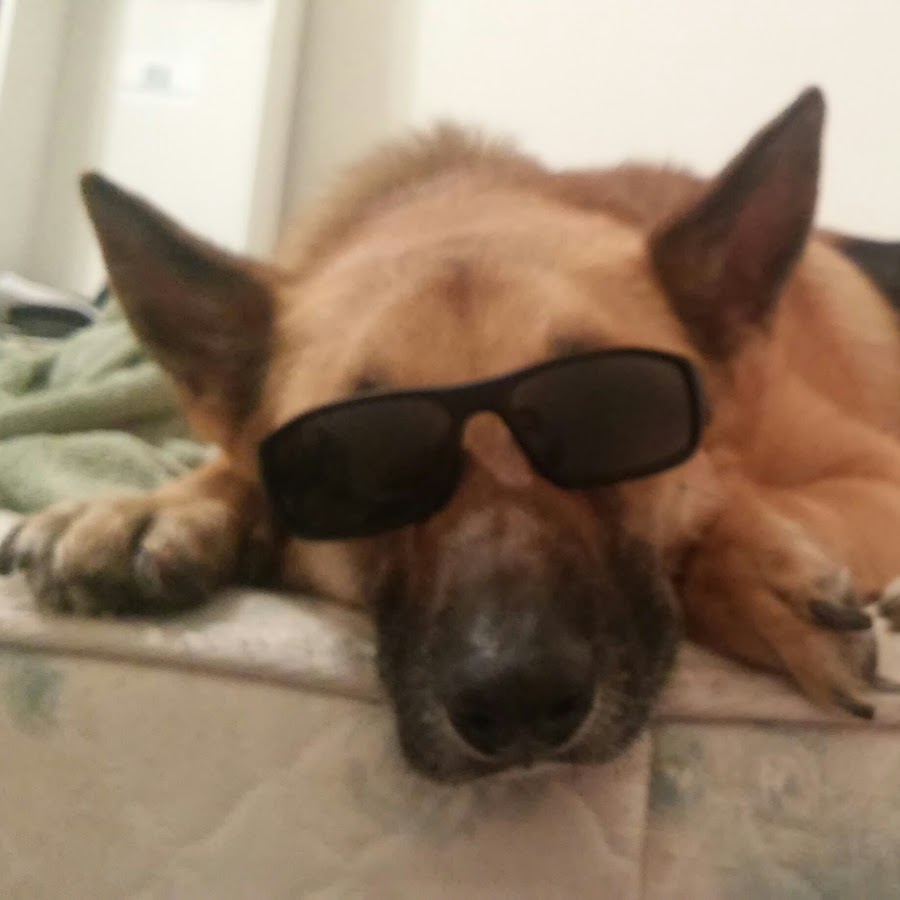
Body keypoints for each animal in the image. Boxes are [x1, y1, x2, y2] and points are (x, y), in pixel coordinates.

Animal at [3, 87, 900, 781]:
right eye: (357, 460)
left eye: (611, 415)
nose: (519, 698)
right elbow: (238, 465)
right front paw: (150, 508)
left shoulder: (876, 474)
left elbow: (724, 498)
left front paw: (763, 577)